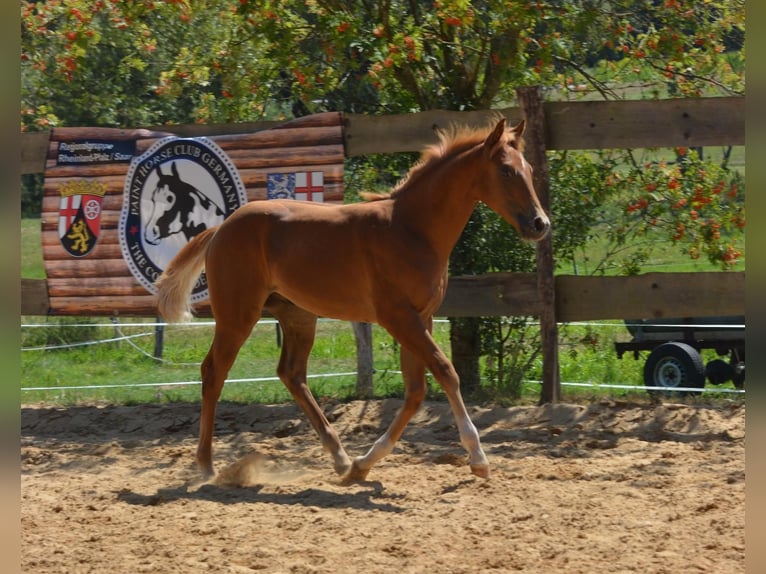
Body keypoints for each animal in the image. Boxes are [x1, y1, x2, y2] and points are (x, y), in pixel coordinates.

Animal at [155, 117, 550, 482]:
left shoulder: (420, 318)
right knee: (214, 371)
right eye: (505, 170)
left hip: (298, 316)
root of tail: (222, 228)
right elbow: (445, 372)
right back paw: (206, 466)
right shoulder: (399, 318)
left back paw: (341, 458)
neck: (410, 229)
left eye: (529, 170)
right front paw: (478, 457)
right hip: (238, 313)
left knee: (291, 374)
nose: (540, 224)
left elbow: (416, 392)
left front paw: (363, 464)